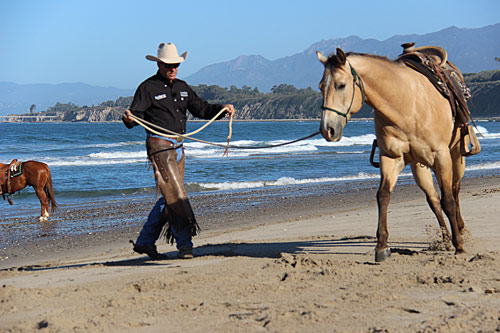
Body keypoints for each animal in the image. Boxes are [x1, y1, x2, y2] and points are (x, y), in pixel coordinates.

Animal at [318, 45, 478, 260]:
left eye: (341, 85)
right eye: (321, 87)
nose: (328, 130)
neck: (406, 105)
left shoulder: (441, 155)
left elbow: (449, 200)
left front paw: (459, 245)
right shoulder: (391, 158)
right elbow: (383, 196)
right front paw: (382, 247)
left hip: (456, 156)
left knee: (454, 189)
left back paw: (459, 230)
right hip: (419, 167)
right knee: (433, 199)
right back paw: (445, 239)